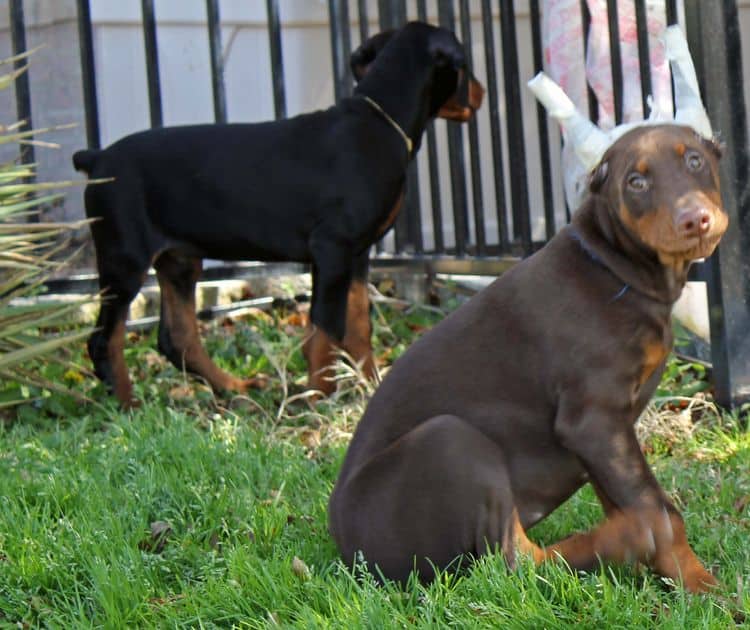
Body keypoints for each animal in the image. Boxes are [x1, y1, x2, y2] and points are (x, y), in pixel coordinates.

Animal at [73, 22, 488, 408]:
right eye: (466, 67)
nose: (482, 93)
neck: (380, 120)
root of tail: (96, 157)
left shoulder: (357, 253)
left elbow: (357, 323)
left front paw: (371, 384)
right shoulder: (332, 248)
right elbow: (325, 329)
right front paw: (319, 396)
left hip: (179, 259)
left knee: (178, 338)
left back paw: (235, 388)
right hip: (125, 257)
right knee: (104, 339)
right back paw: (128, 405)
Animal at [328, 126, 728, 596]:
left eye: (695, 160)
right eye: (636, 182)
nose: (694, 219)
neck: (613, 268)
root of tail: (347, 551)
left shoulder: (604, 437)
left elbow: (622, 495)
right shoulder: (593, 419)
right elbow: (657, 505)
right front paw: (702, 586)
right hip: (448, 440)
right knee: (513, 562)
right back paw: (629, 537)